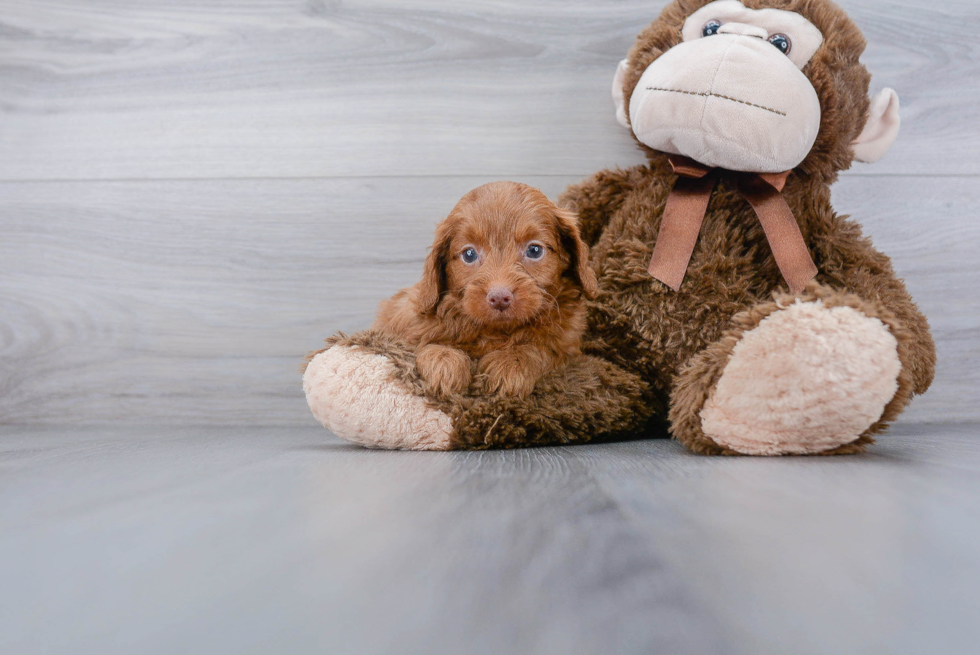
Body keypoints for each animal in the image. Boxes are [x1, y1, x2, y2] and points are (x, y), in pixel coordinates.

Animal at [304, 0, 936, 454]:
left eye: (535, 251)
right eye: (468, 257)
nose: (502, 296)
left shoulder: (560, 341)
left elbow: (535, 352)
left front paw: (509, 367)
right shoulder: (417, 317)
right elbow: (431, 340)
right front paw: (443, 364)